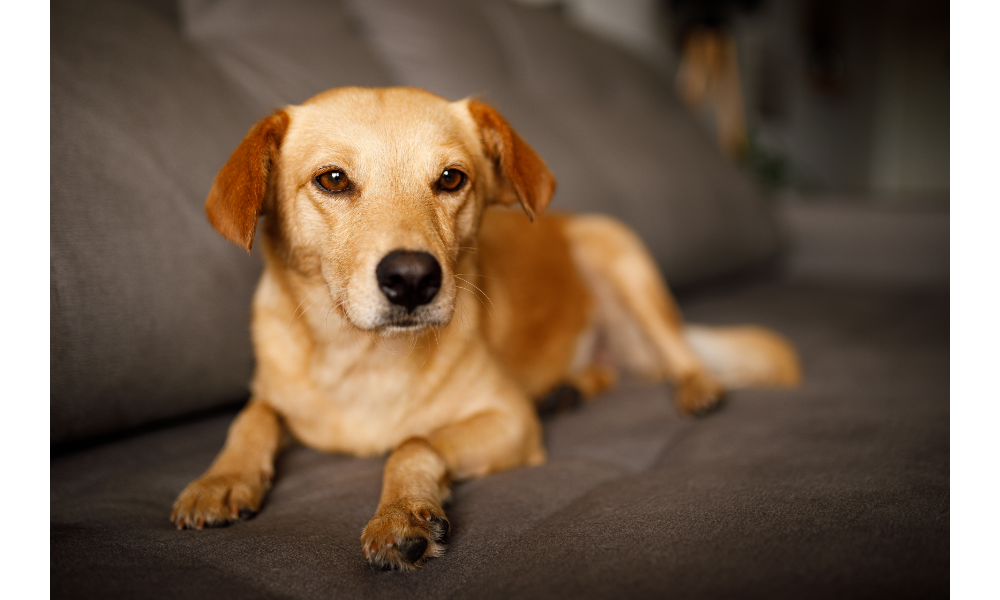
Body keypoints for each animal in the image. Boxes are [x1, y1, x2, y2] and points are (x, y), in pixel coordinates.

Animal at [170, 86, 796, 568]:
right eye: (333, 180)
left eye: (451, 179)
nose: (413, 278)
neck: (364, 359)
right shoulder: (272, 395)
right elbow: (251, 418)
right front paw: (219, 480)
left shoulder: (508, 418)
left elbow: (414, 440)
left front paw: (400, 512)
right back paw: (567, 391)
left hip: (617, 254)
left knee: (680, 354)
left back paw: (697, 389)